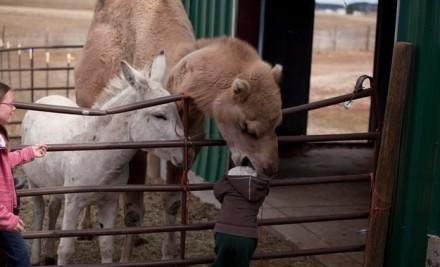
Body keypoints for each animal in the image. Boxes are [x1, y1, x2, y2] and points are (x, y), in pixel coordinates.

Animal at [21, 52, 183, 266]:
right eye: (160, 116)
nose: (183, 153)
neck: (99, 153)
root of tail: (48, 97)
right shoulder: (73, 203)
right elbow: (66, 249)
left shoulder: (109, 202)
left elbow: (106, 246)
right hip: (34, 182)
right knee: (39, 211)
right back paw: (35, 255)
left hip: (53, 182)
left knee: (53, 207)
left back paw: (48, 253)